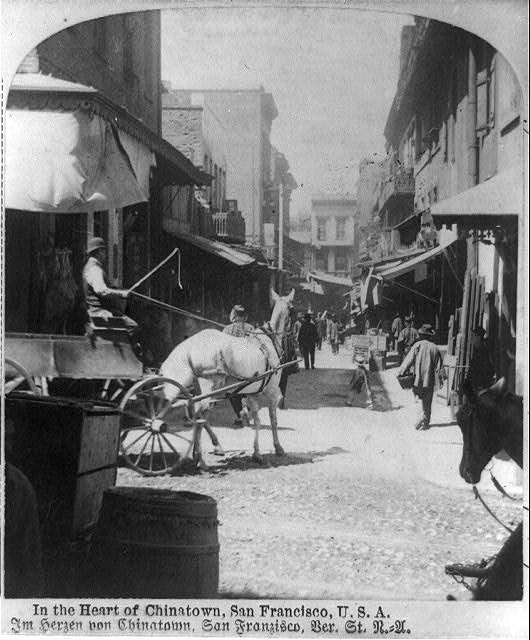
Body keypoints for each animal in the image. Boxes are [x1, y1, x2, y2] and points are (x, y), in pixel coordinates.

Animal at [161, 288, 292, 462]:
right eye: (292, 309)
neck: (267, 341)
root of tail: (190, 345)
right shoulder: (271, 390)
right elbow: (273, 419)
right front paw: (278, 447)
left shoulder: (252, 392)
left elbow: (257, 420)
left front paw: (257, 452)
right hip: (210, 386)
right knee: (200, 414)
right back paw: (199, 456)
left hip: (199, 389)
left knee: (198, 413)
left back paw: (207, 448)